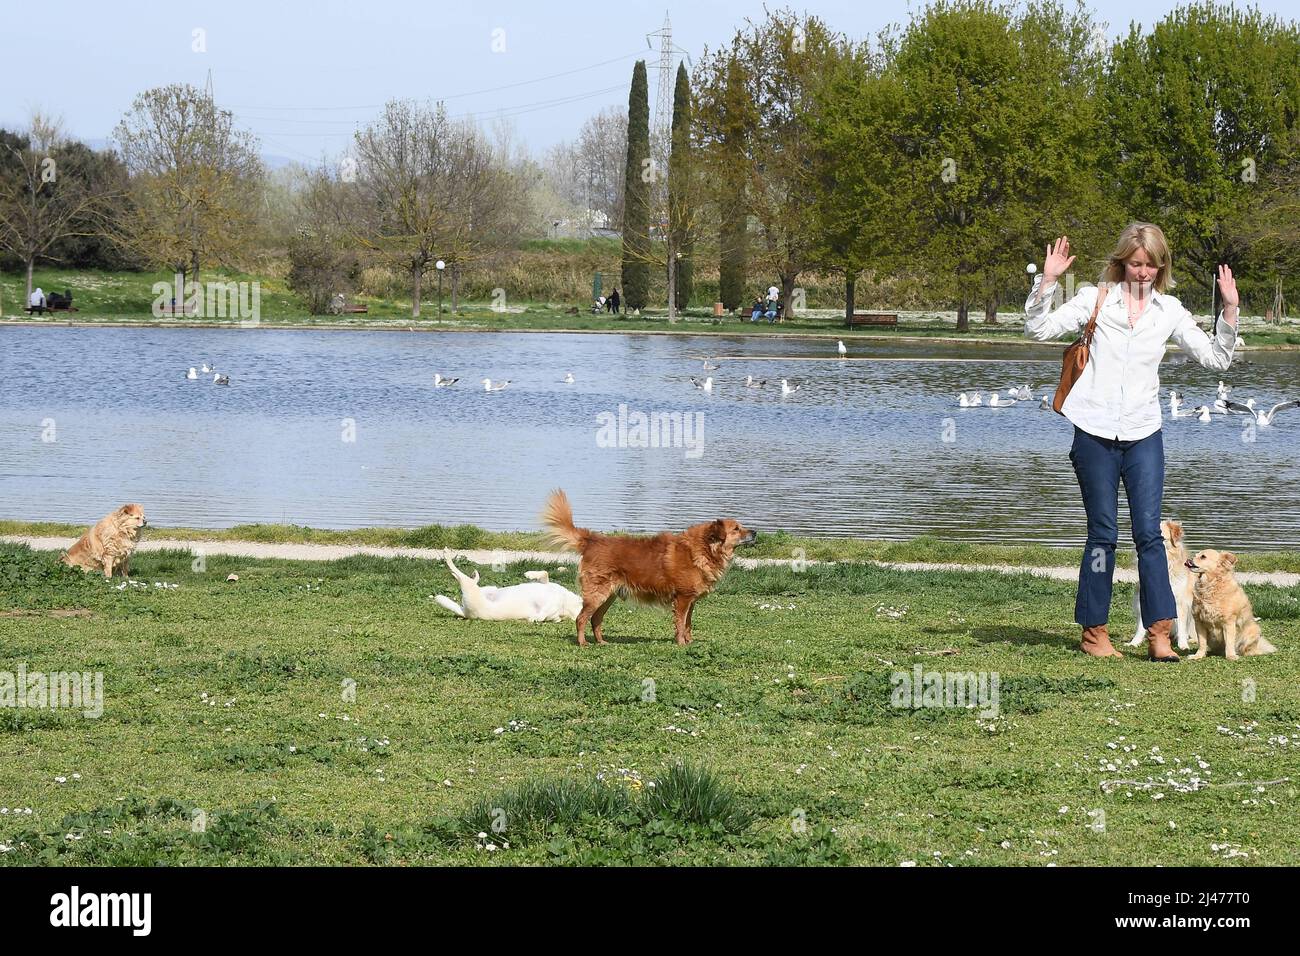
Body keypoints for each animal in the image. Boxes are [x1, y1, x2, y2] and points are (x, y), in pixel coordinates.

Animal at [434, 548, 582, 624]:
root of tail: (465, 612)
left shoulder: (551, 611)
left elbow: (544, 616)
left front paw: (534, 618)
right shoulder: (547, 584)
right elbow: (545, 573)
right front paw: (529, 574)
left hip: (470, 589)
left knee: (458, 574)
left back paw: (447, 556)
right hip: (488, 588)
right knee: (470, 580)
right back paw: (474, 575)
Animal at [538, 489, 759, 647]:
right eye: (736, 529)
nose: (756, 532)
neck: (702, 549)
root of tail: (592, 540)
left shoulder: (691, 601)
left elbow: (688, 624)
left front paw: (690, 642)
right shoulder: (682, 599)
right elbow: (681, 624)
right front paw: (681, 644)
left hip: (609, 596)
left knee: (596, 619)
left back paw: (601, 642)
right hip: (597, 594)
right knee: (581, 618)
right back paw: (583, 643)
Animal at [1128, 520, 1196, 655]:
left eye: (1162, 539)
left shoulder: (1180, 602)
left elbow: (1181, 626)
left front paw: (1183, 645)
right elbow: (1141, 625)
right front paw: (1134, 642)